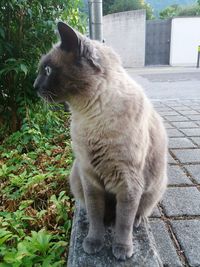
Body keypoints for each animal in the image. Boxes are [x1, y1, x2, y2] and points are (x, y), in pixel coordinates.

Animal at [34, 21, 167, 262]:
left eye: (47, 70)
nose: (34, 85)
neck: (89, 117)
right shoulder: (90, 179)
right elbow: (96, 216)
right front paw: (93, 242)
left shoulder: (128, 184)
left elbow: (123, 222)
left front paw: (122, 250)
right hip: (76, 176)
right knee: (95, 212)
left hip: (154, 188)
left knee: (136, 214)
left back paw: (136, 222)